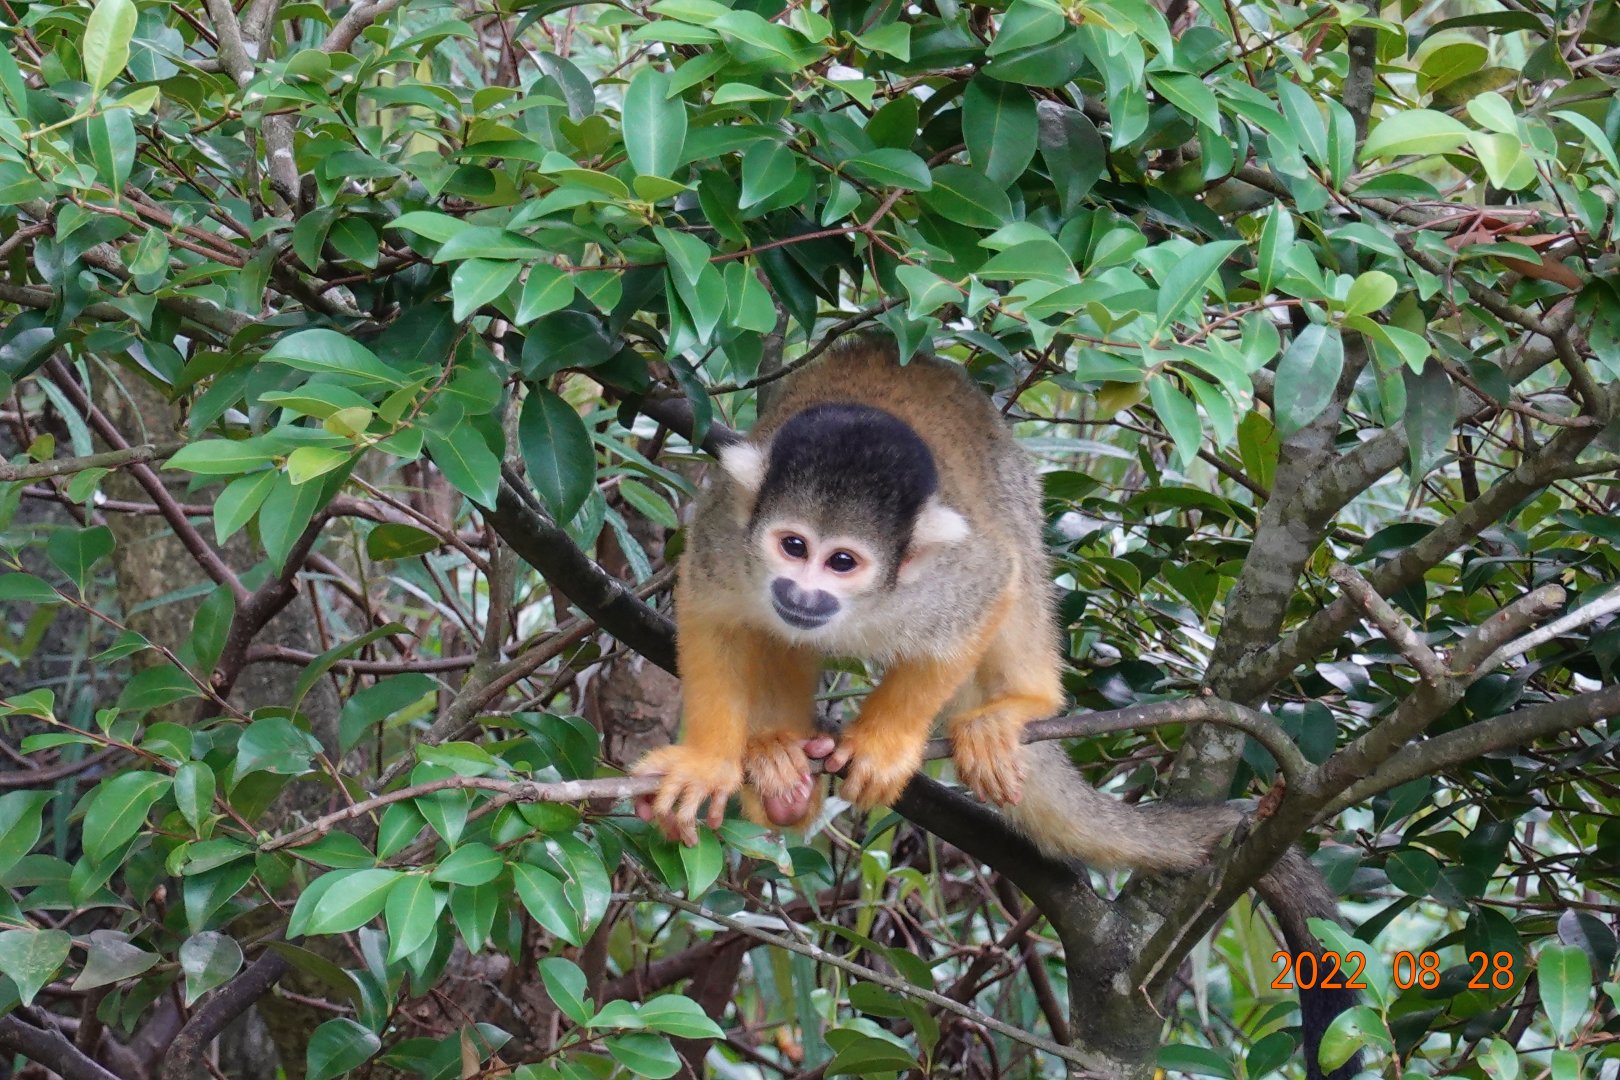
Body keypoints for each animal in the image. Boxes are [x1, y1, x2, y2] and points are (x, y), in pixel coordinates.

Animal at [631, 336, 1357, 1080]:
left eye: (843, 562)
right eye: (793, 545)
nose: (802, 594)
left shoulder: (946, 581)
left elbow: (988, 590)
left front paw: (884, 745)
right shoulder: (728, 532)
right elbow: (712, 616)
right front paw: (710, 762)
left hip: (1015, 486)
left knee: (1018, 558)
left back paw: (1018, 705)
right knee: (780, 637)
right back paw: (782, 767)